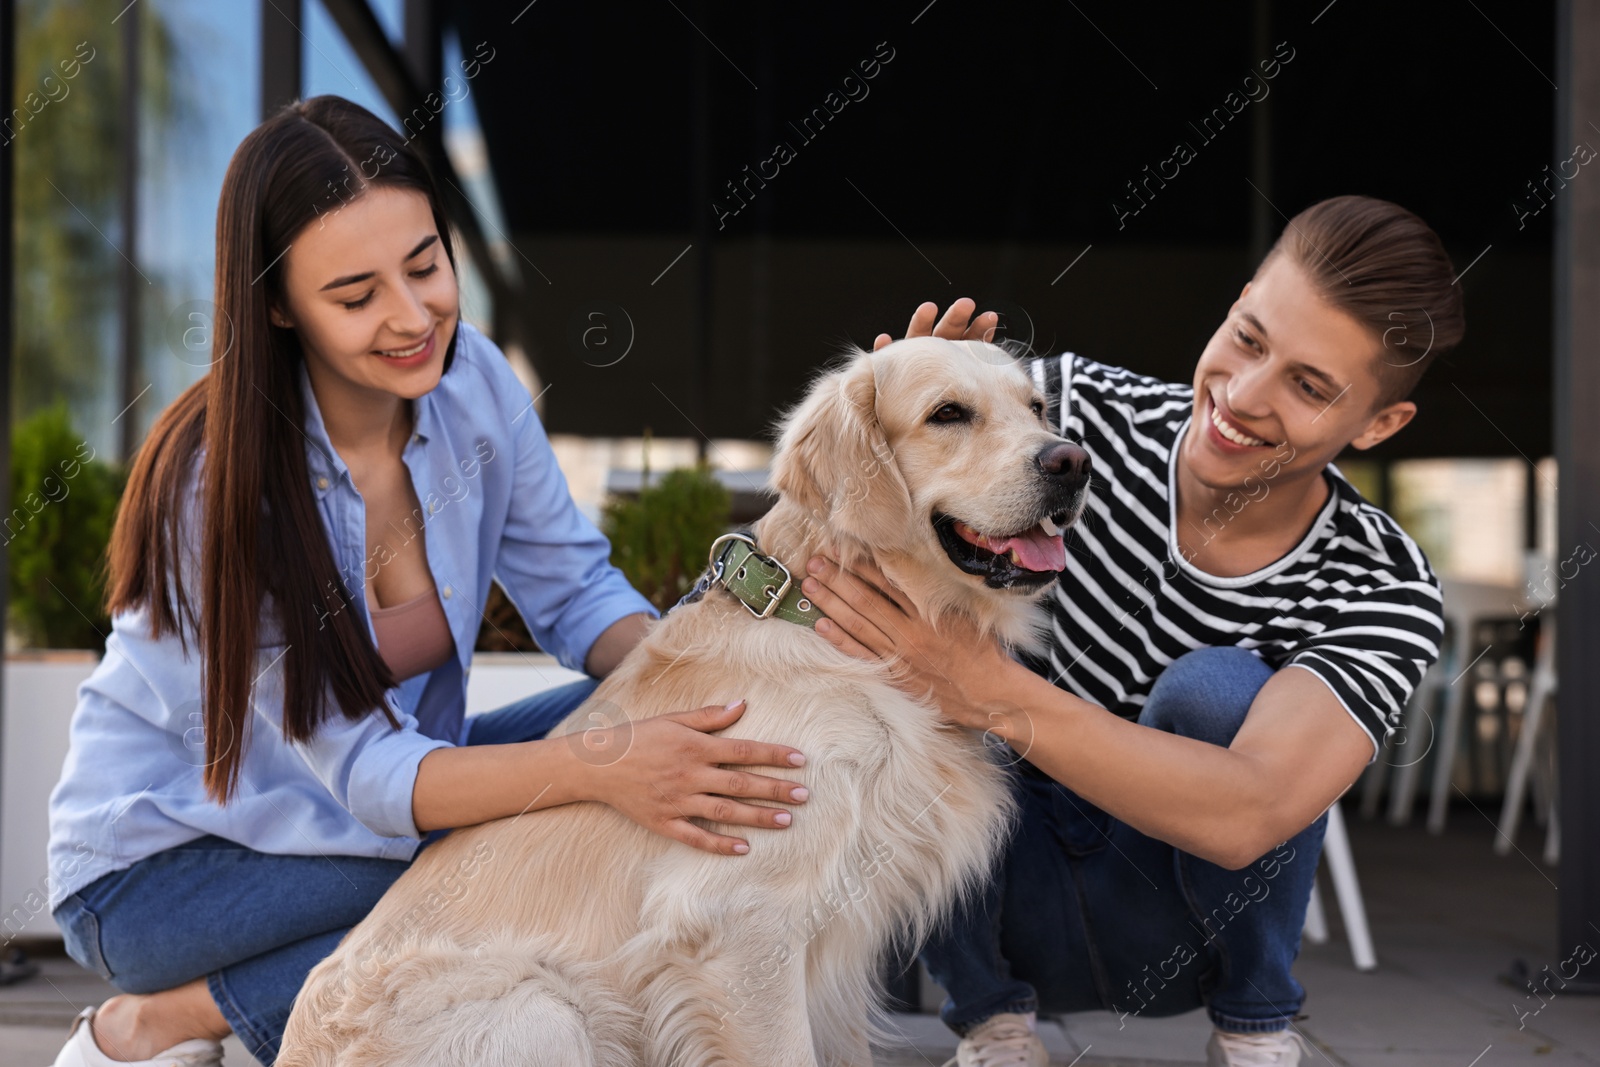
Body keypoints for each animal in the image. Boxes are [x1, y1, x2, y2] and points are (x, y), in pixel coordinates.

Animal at [281, 340, 1094, 1067]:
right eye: (948, 413)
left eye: (1036, 406)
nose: (1071, 462)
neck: (825, 627)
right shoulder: (741, 927)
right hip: (545, 1007)